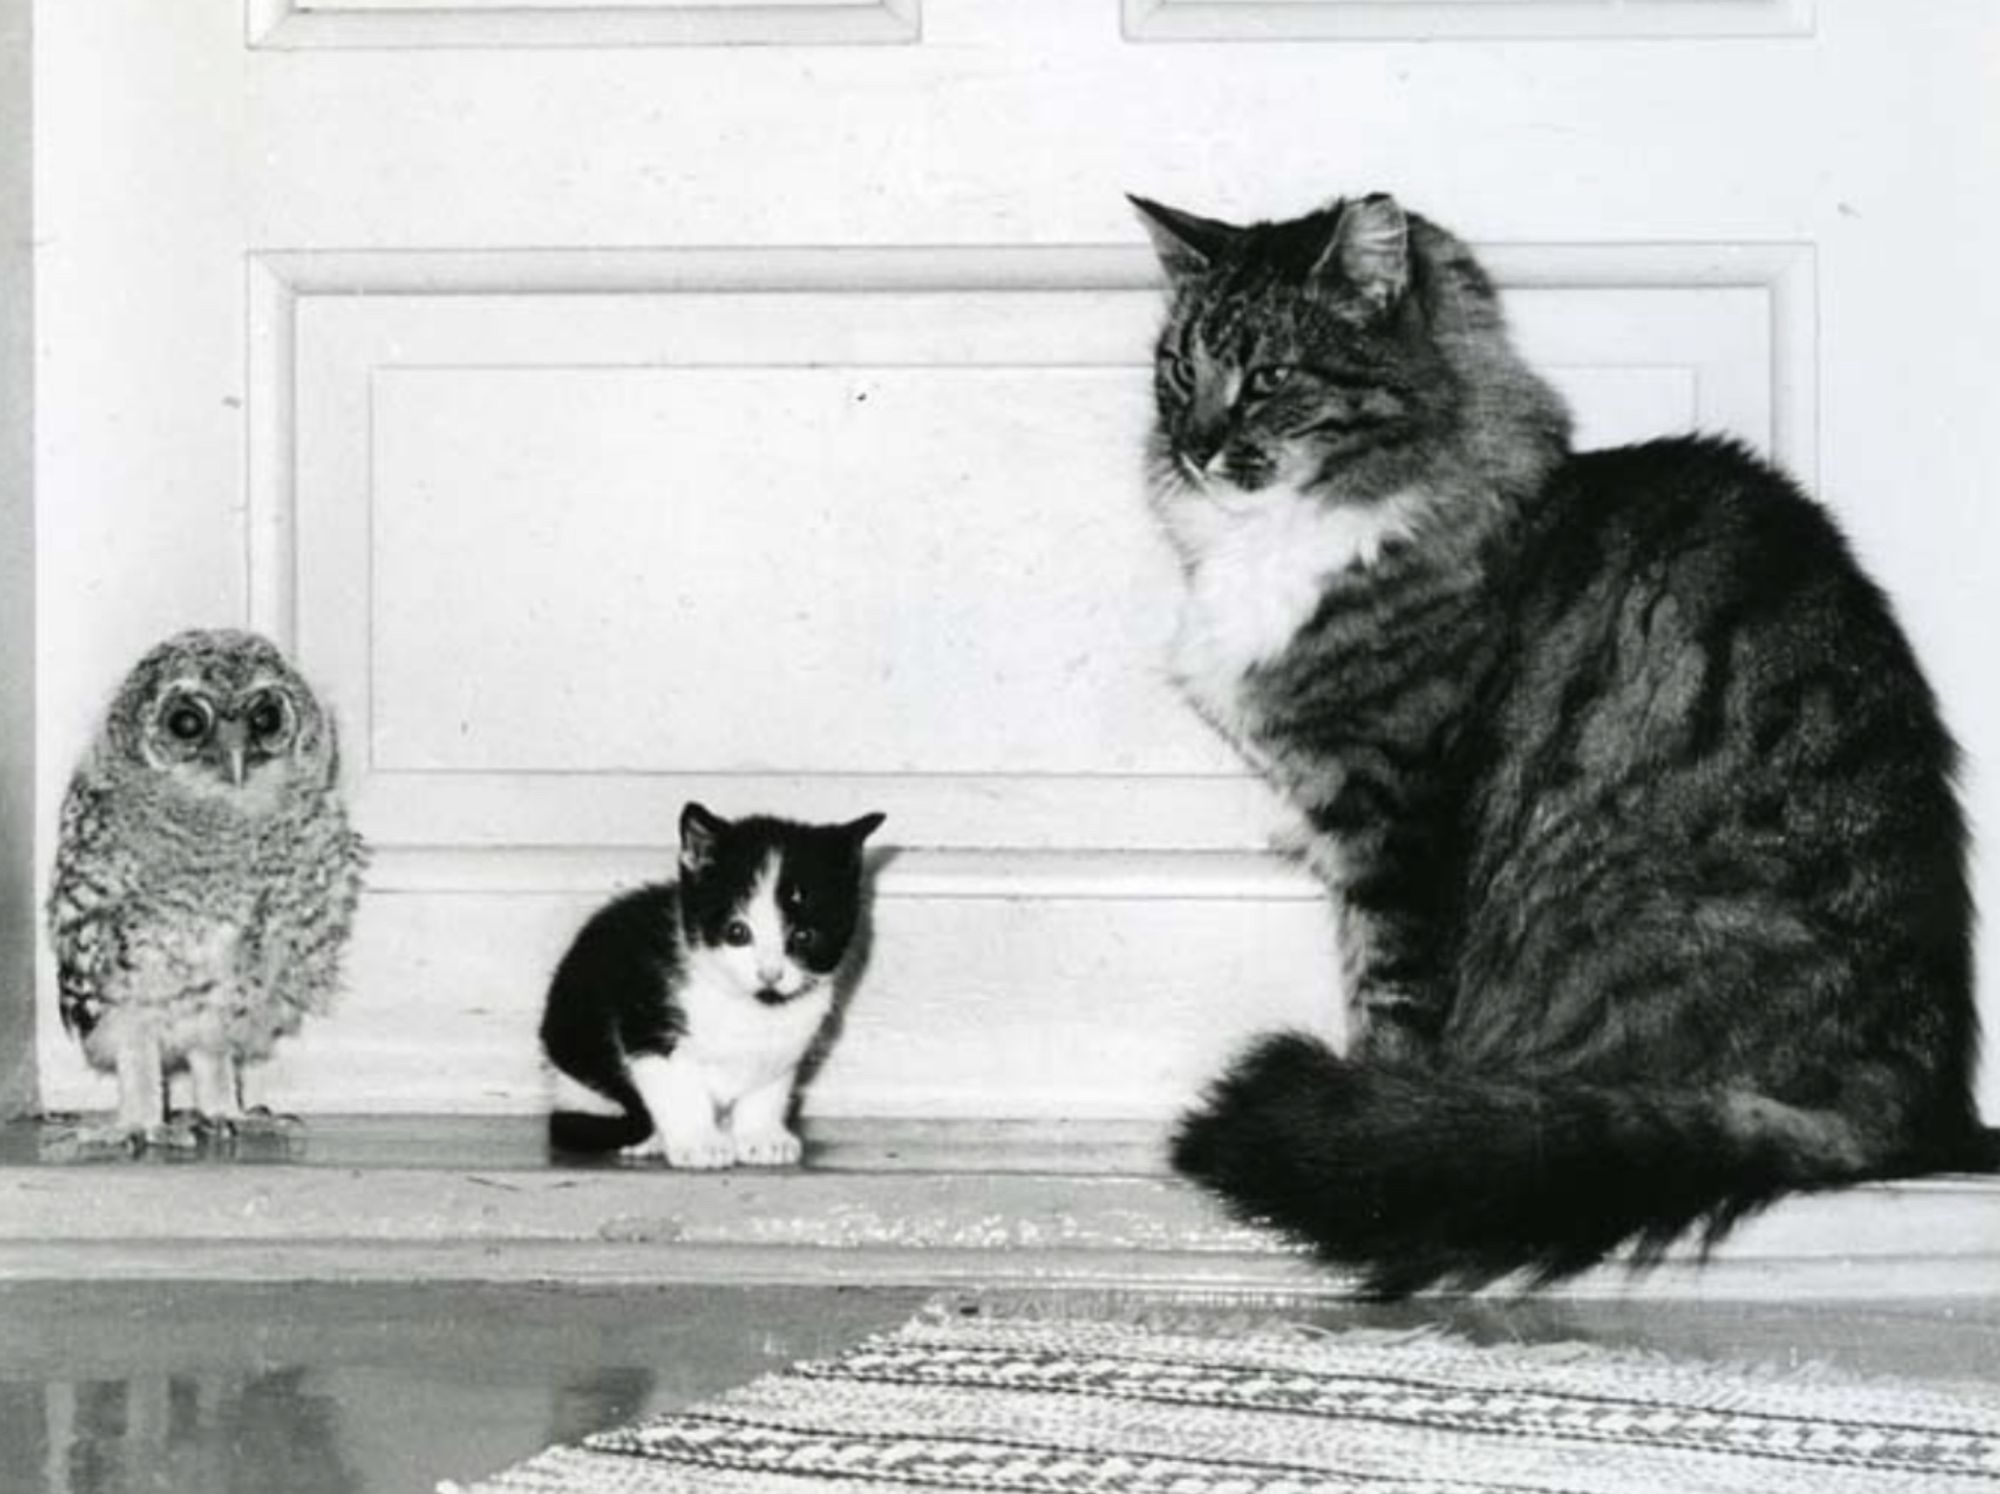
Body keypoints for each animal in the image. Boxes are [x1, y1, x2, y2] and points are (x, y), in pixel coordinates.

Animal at [540, 808, 884, 1168]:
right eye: (737, 932)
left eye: (804, 936)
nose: (770, 974)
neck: (747, 1004)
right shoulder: (648, 1021)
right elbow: (676, 1088)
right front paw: (698, 1141)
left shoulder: (787, 1042)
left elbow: (767, 1085)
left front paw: (760, 1135)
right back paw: (653, 1138)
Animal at [1136, 190, 1992, 1296]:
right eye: (1177, 369)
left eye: (1269, 377)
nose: (1192, 447)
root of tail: (1899, 1109)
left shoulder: (1394, 822)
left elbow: (1388, 1000)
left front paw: (1373, 1097)